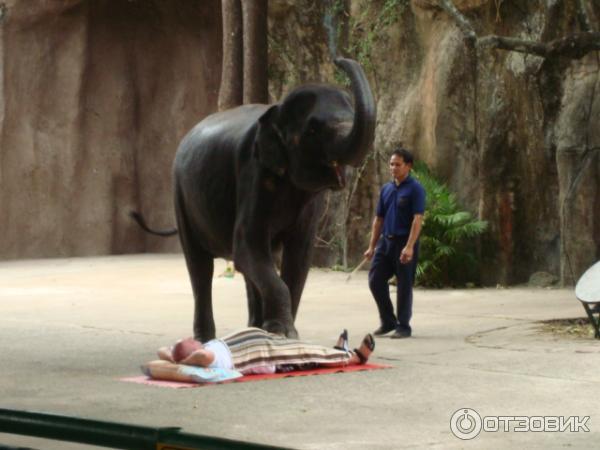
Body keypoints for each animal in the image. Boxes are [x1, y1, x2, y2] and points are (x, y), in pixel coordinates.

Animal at [135, 58, 376, 342]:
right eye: (313, 129)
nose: (338, 59)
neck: (276, 110)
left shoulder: (309, 202)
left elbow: (299, 256)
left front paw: (283, 334)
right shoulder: (253, 173)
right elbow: (246, 245)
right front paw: (281, 332)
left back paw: (254, 328)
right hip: (181, 197)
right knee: (200, 266)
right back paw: (206, 340)